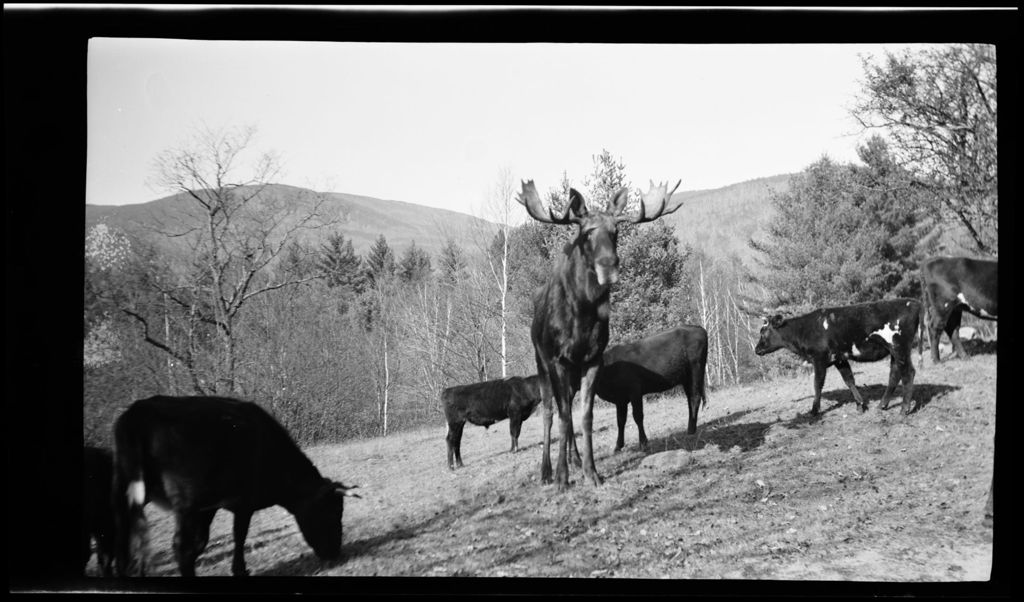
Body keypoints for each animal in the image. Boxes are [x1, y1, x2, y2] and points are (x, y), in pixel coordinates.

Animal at [111, 395, 360, 577]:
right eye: (333, 512)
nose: (335, 553)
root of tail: (139, 410)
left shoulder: (209, 506)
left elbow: (201, 543)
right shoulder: (242, 503)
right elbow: (239, 535)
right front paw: (240, 570)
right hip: (184, 501)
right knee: (180, 545)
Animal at [518, 178, 684, 491]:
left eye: (615, 231)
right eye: (586, 233)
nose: (609, 265)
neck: (581, 317)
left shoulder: (592, 359)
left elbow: (584, 416)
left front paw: (590, 471)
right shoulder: (557, 359)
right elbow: (562, 416)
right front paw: (561, 479)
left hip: (571, 372)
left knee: (568, 409)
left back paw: (573, 459)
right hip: (541, 362)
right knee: (548, 412)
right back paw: (547, 471)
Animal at [754, 299, 922, 416]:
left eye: (763, 332)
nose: (756, 349)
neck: (805, 330)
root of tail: (913, 302)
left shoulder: (819, 359)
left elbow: (817, 384)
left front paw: (814, 410)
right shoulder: (839, 359)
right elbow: (849, 380)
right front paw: (860, 405)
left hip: (899, 347)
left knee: (908, 373)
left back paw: (904, 409)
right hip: (894, 351)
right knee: (894, 374)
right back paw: (882, 405)